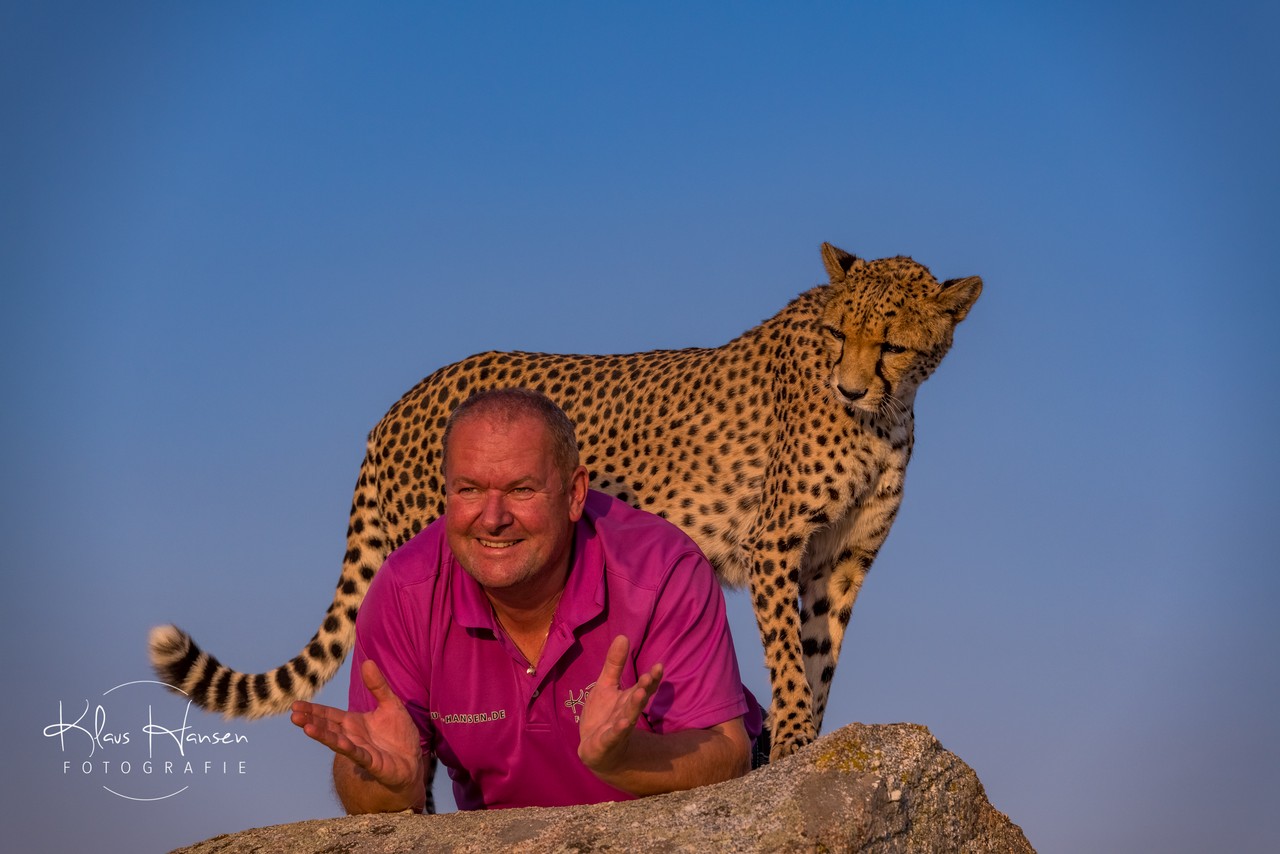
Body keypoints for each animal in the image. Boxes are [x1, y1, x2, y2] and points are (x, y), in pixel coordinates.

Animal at [150, 242, 981, 770]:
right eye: (840, 333)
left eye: (892, 346)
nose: (849, 388)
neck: (889, 410)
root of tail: (397, 404)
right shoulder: (775, 542)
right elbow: (786, 650)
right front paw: (798, 738)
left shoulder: (841, 556)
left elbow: (821, 650)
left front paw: (803, 734)